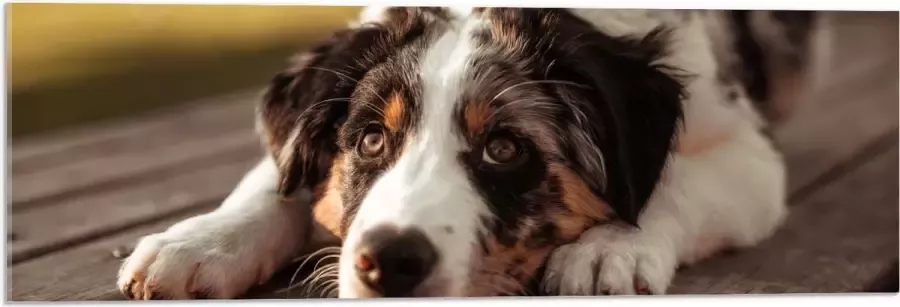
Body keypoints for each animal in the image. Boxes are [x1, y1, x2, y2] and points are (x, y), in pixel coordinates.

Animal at [114, 7, 816, 300]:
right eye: (371, 139)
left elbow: (673, 182)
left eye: (503, 148)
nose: (388, 263)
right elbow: (276, 178)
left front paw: (607, 248)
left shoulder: (751, 154)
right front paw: (198, 245)